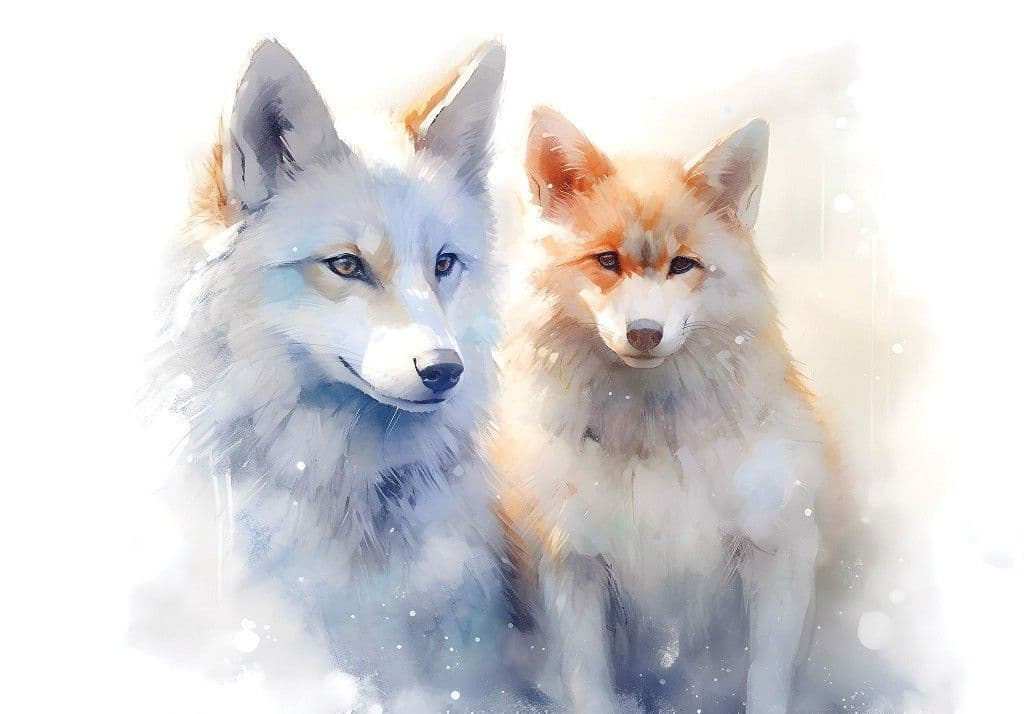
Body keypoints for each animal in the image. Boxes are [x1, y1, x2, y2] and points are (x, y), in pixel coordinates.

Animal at [494, 108, 845, 713]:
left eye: (683, 265)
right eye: (607, 260)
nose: (644, 333)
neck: (652, 441)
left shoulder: (778, 550)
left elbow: (766, 681)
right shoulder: (572, 562)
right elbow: (589, 685)